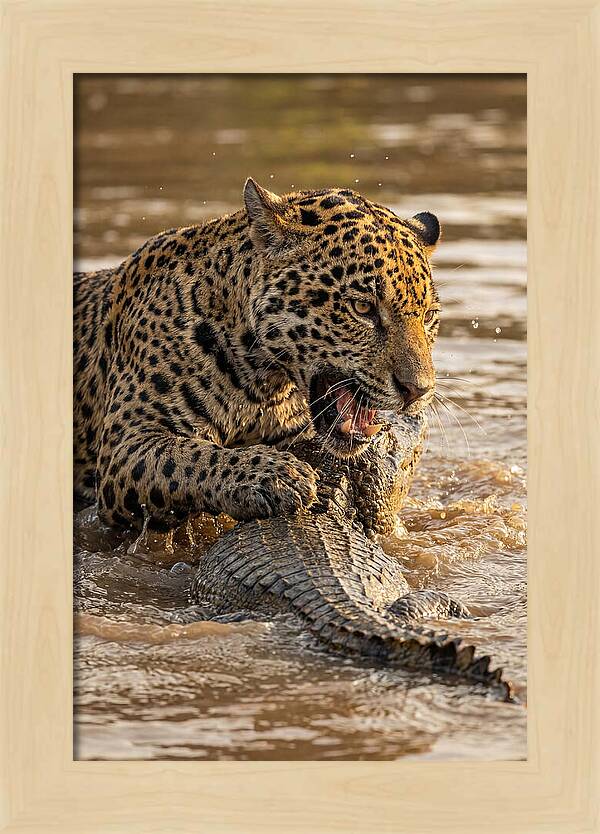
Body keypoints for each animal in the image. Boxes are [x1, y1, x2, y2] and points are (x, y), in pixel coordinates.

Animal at [73, 178, 441, 531]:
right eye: (362, 308)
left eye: (428, 316)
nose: (417, 390)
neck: (263, 384)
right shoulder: (126, 445)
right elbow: (189, 456)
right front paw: (276, 476)